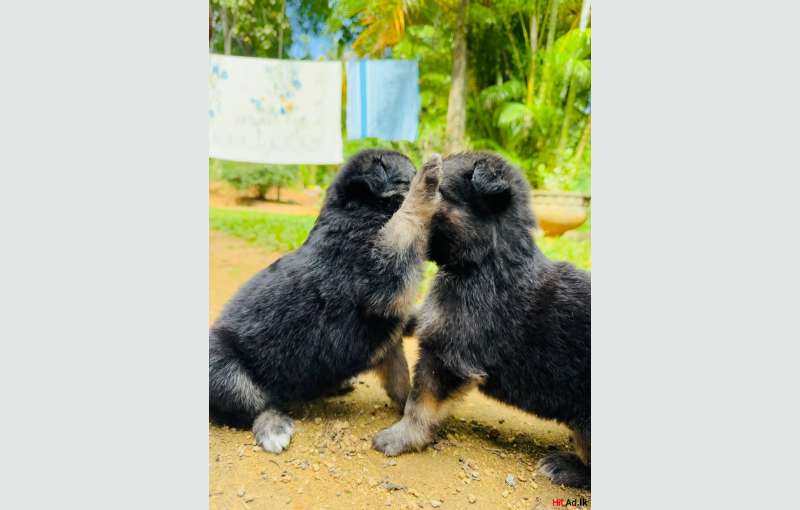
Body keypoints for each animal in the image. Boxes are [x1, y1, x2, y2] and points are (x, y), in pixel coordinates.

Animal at [209, 149, 444, 452]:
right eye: (408, 176)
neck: (357, 213)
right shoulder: (382, 278)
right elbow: (405, 221)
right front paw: (427, 179)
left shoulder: (388, 335)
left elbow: (401, 379)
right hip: (221, 365)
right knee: (255, 404)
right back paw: (274, 428)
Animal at [372, 152, 592, 490]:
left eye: (439, 191)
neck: (486, 260)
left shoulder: (447, 358)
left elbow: (420, 403)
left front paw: (403, 436)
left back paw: (567, 467)